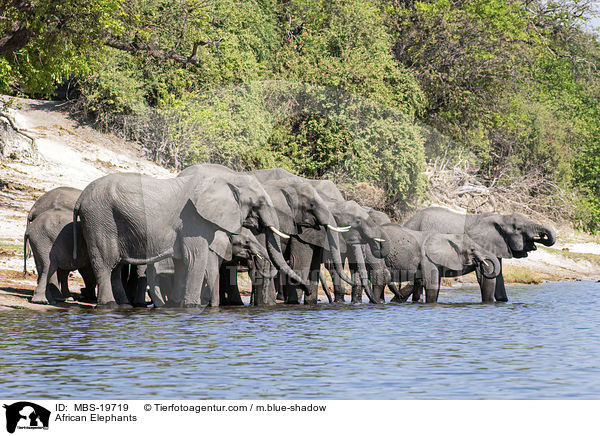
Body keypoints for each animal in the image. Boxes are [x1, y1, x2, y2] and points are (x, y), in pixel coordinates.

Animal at [75, 170, 308, 306]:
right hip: (99, 219)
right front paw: (192, 307)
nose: (304, 291)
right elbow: (195, 259)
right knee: (105, 265)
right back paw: (108, 305)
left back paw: (122, 306)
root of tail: (80, 199)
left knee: (115, 268)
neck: (227, 179)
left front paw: (179, 305)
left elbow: (182, 263)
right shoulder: (193, 220)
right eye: (259, 202)